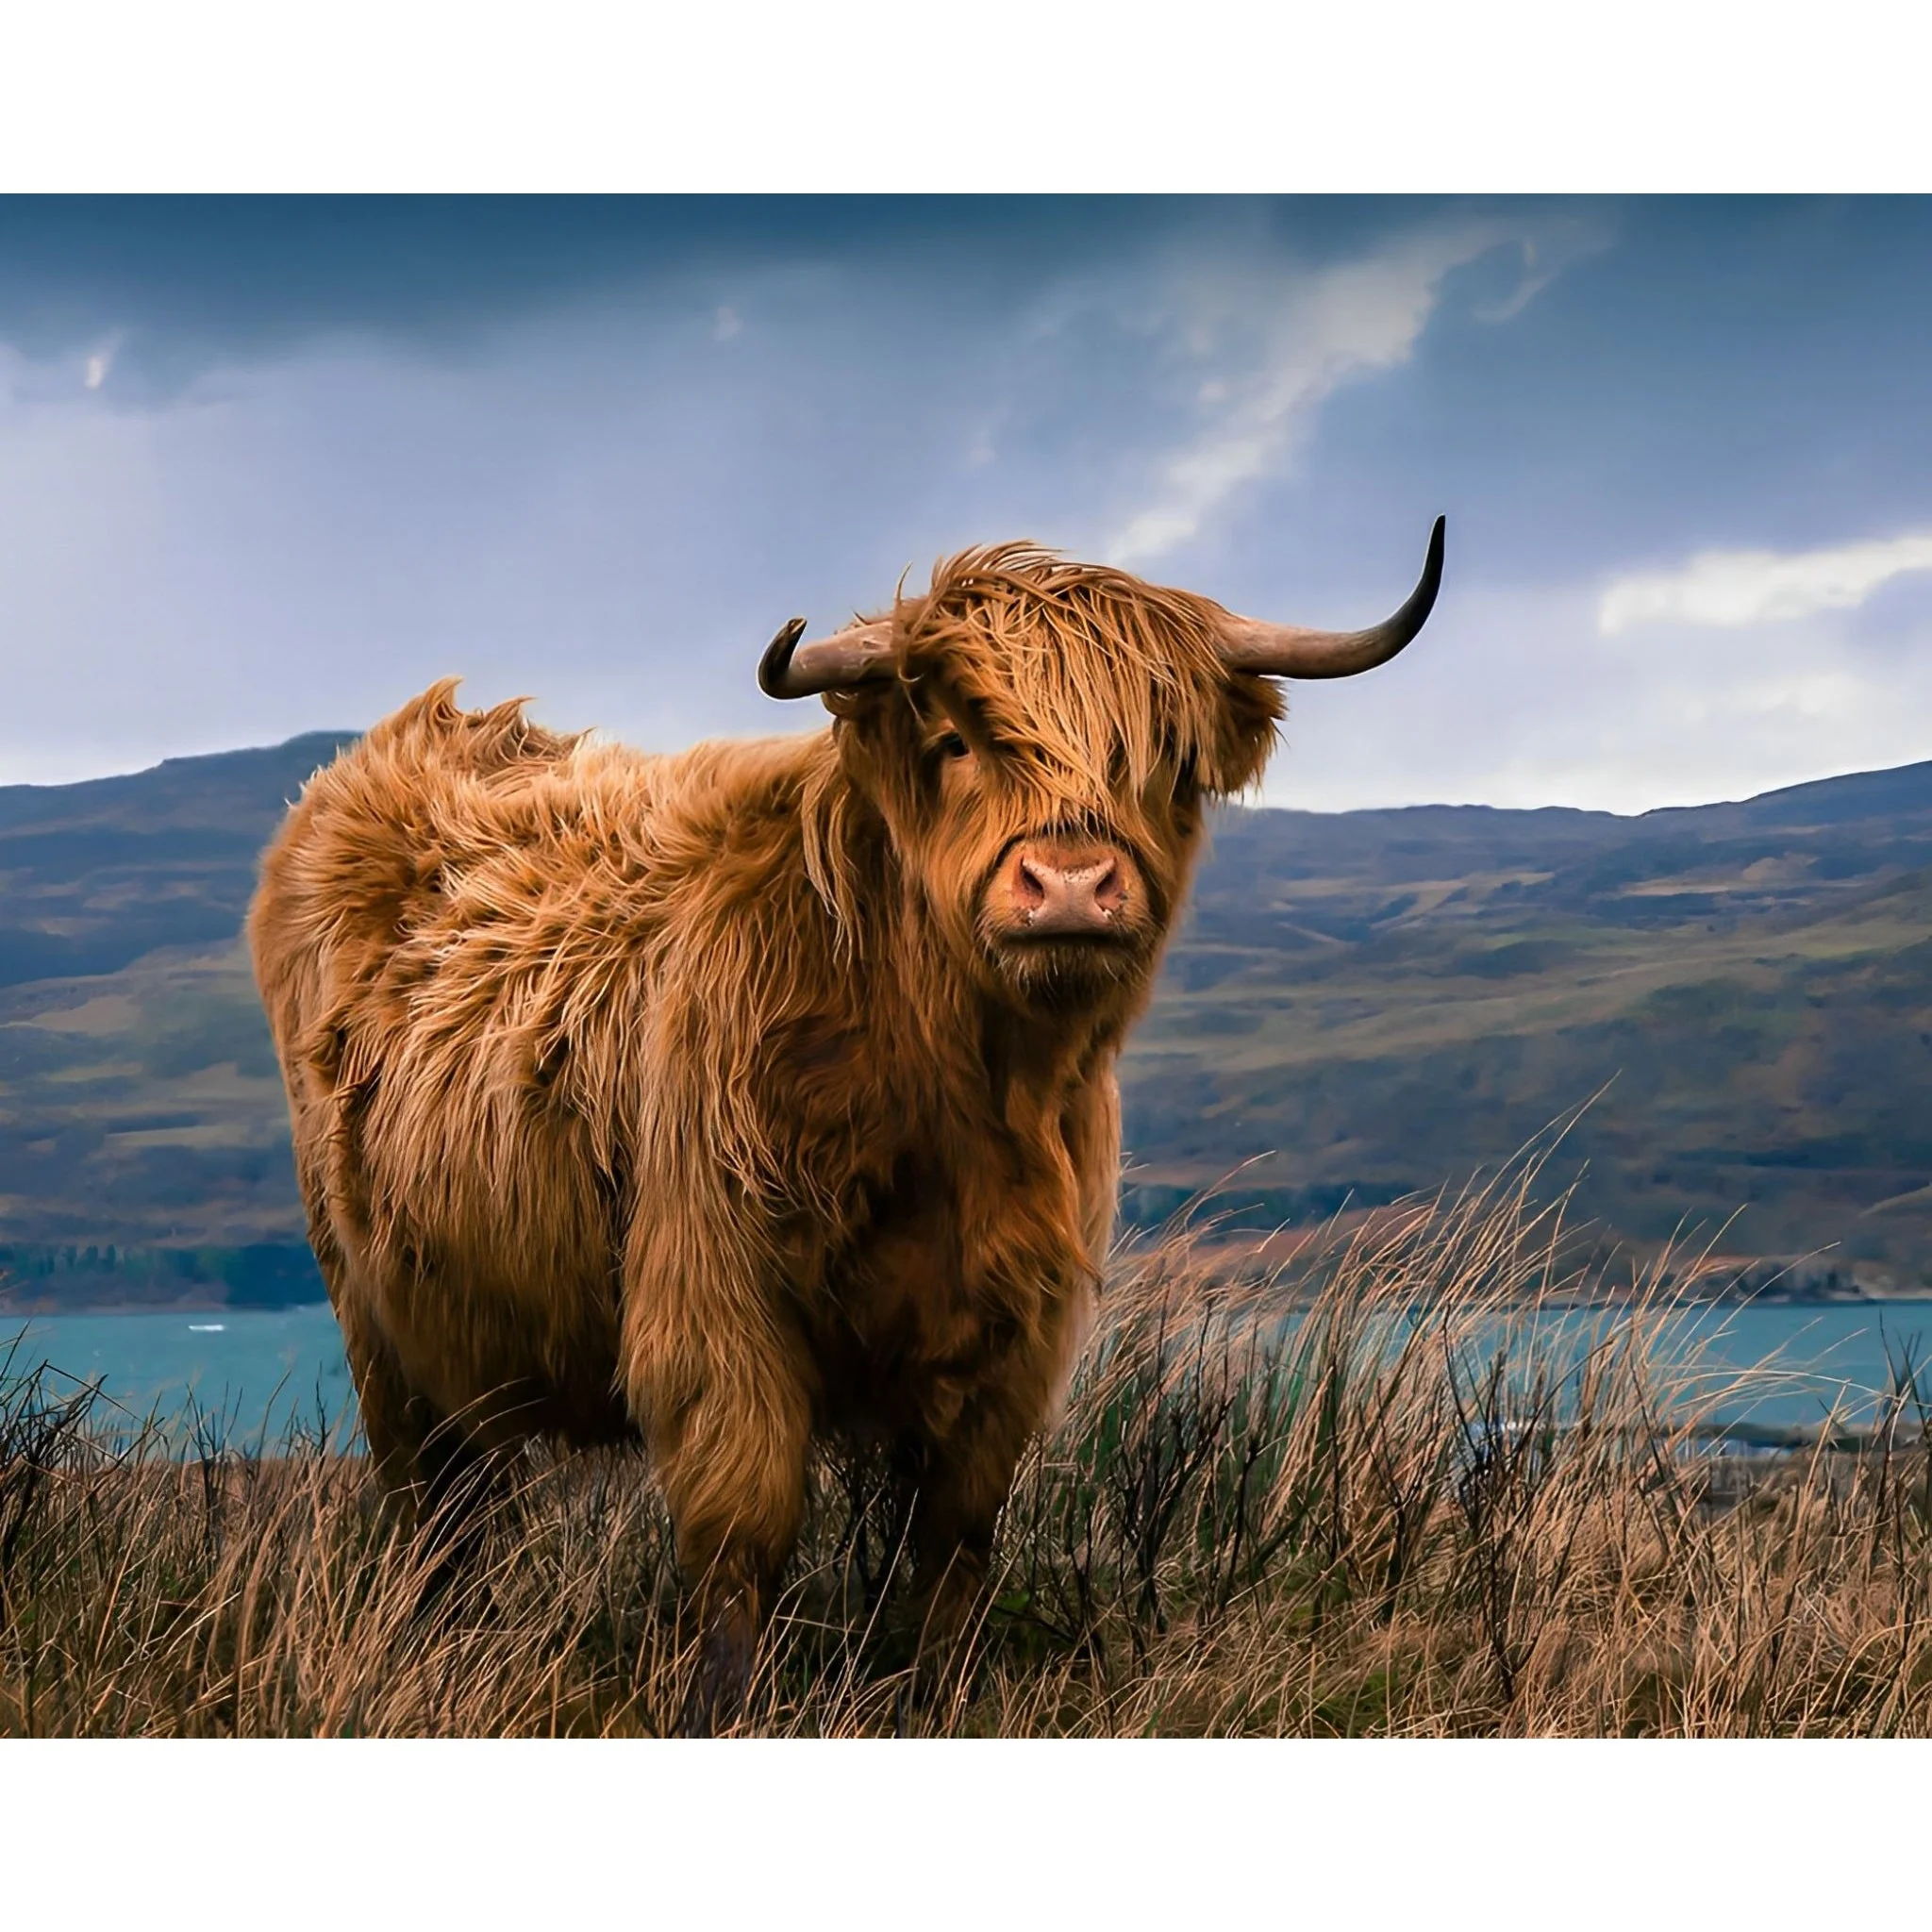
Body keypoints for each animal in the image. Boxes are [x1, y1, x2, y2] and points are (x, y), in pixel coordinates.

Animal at [248, 518, 1444, 1726]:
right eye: (955, 739)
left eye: (1161, 757)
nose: (1067, 885)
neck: (953, 1094)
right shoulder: (716, 1304)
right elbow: (740, 1536)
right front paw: (723, 1709)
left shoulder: (1016, 1331)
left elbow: (955, 1540)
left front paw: (942, 1694)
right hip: (375, 1321)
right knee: (431, 1510)